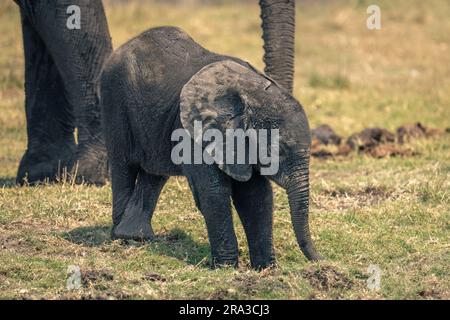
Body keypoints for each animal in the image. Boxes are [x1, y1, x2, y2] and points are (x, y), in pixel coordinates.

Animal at [98, 26, 320, 268]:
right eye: (277, 151)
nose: (320, 260)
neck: (252, 93)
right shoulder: (192, 131)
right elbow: (214, 192)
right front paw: (226, 268)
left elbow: (256, 195)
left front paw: (266, 268)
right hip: (115, 100)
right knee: (124, 166)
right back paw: (123, 239)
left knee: (154, 173)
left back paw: (137, 236)